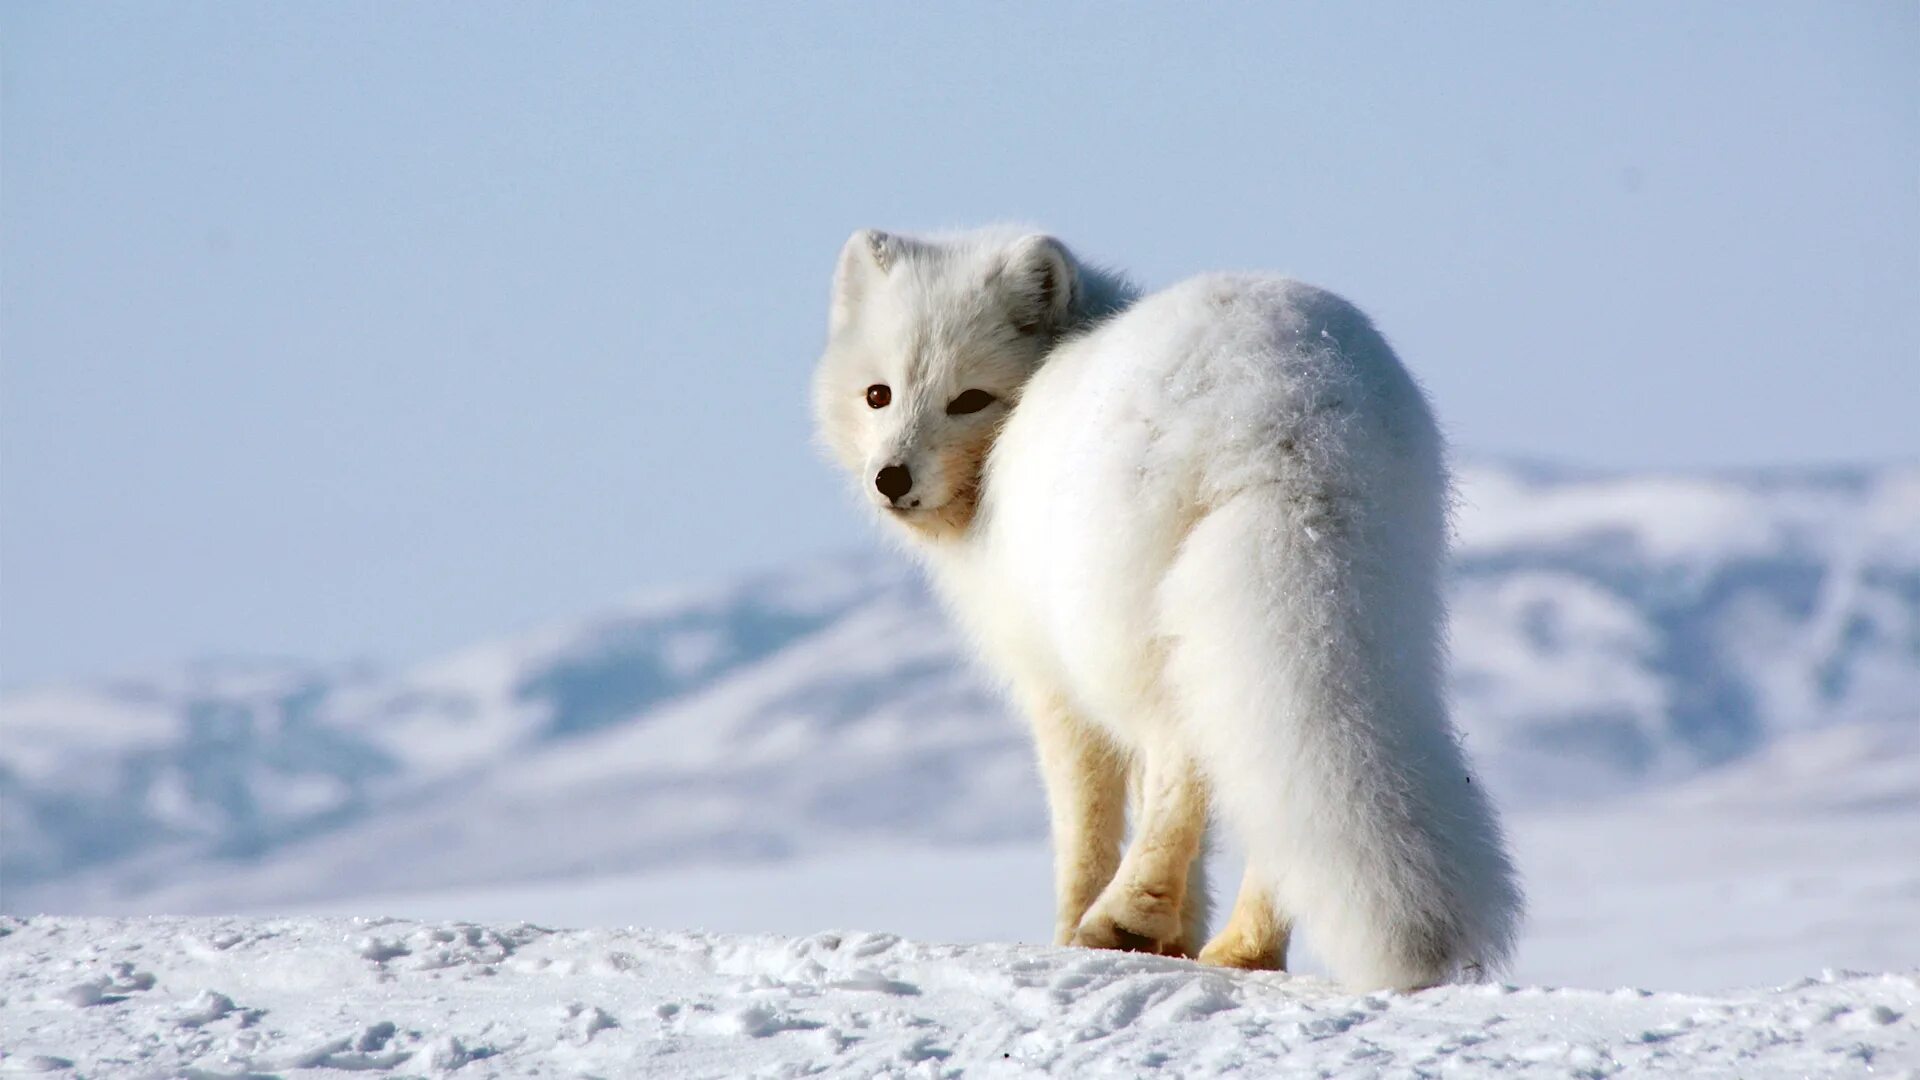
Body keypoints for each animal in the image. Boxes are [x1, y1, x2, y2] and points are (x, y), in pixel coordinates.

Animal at [810, 228, 1512, 991]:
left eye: (969, 398)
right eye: (878, 395)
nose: (891, 478)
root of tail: (1289, 408)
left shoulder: (1053, 684)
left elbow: (1086, 820)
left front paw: (1089, 929)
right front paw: (1182, 936)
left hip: (1121, 635)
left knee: (1185, 760)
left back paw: (1123, 918)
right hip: (1366, 610)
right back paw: (1244, 948)